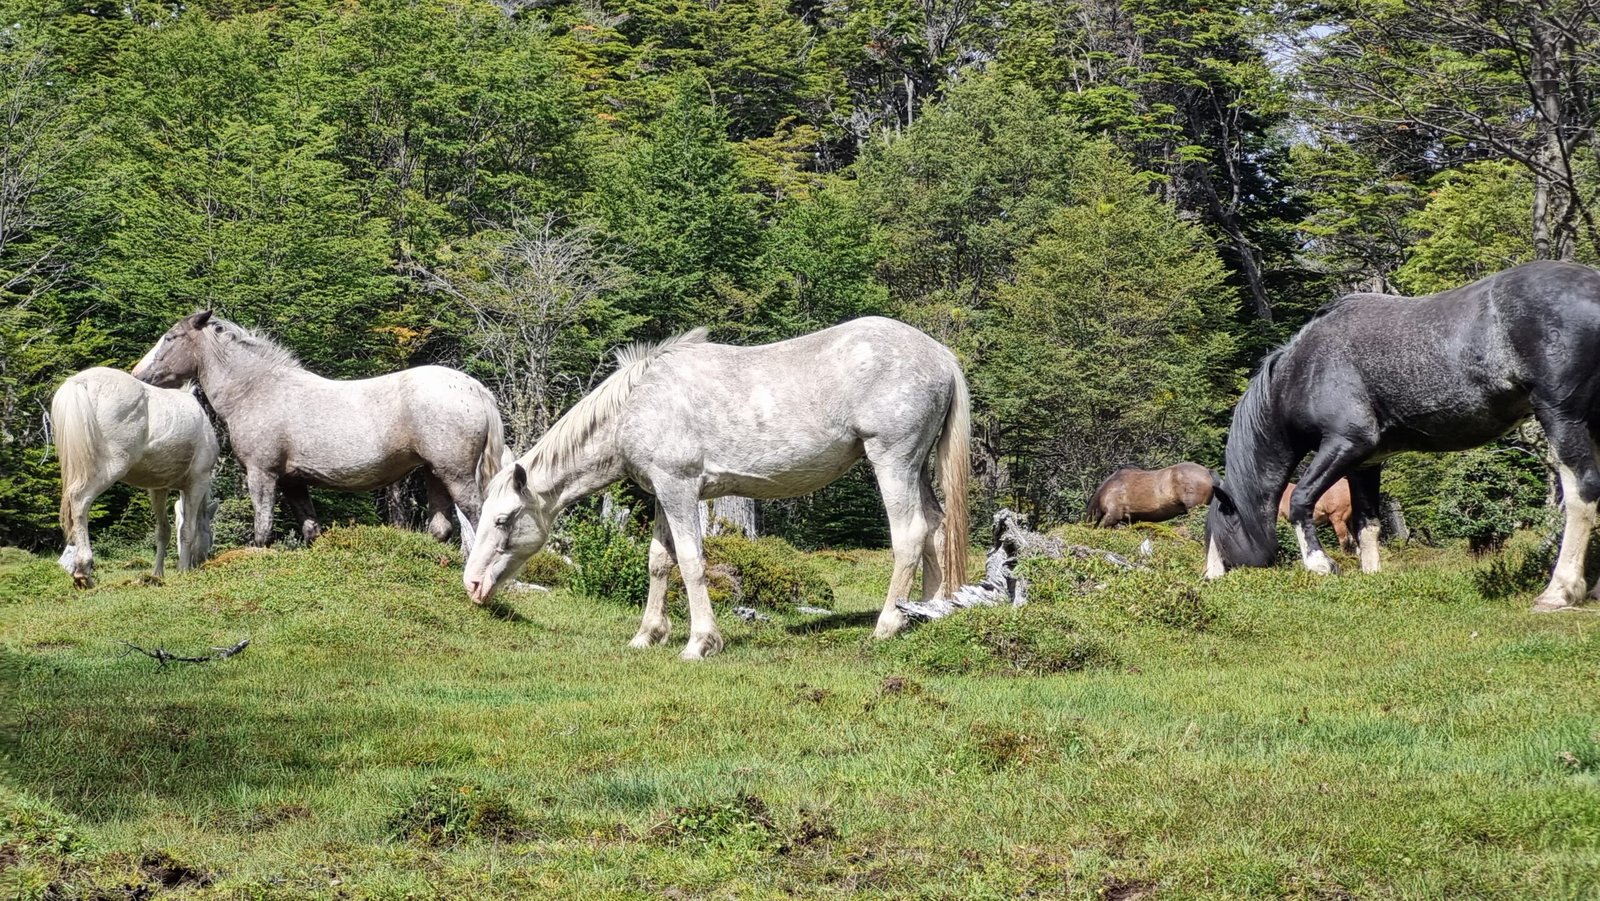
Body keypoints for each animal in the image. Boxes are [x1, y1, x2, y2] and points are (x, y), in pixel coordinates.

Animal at [52, 367, 220, 587]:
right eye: (210, 533)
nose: (201, 562)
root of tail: (80, 381)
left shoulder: (158, 488)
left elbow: (163, 531)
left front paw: (157, 575)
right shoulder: (197, 482)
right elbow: (187, 530)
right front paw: (183, 571)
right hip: (110, 468)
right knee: (79, 501)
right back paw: (83, 570)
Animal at [132, 311, 509, 548]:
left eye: (171, 337)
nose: (137, 373)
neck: (257, 389)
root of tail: (475, 388)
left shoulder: (262, 473)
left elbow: (263, 530)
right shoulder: (293, 481)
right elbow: (311, 529)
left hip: (456, 474)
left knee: (477, 516)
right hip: (434, 472)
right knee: (441, 527)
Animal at [464, 317, 972, 660]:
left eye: (504, 519)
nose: (472, 585)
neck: (637, 403)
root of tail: (941, 356)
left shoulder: (679, 488)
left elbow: (691, 563)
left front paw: (700, 642)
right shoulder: (663, 493)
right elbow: (659, 562)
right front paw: (647, 635)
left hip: (893, 461)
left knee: (909, 534)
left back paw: (889, 624)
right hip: (916, 468)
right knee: (936, 529)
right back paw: (927, 613)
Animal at [1204, 261, 1600, 611]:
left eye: (1220, 528)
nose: (1209, 578)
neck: (1300, 372)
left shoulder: (1346, 443)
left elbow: (1302, 500)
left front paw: (1321, 565)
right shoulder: (1364, 463)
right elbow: (1367, 525)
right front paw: (1372, 577)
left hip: (1561, 416)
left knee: (1582, 492)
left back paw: (1560, 591)